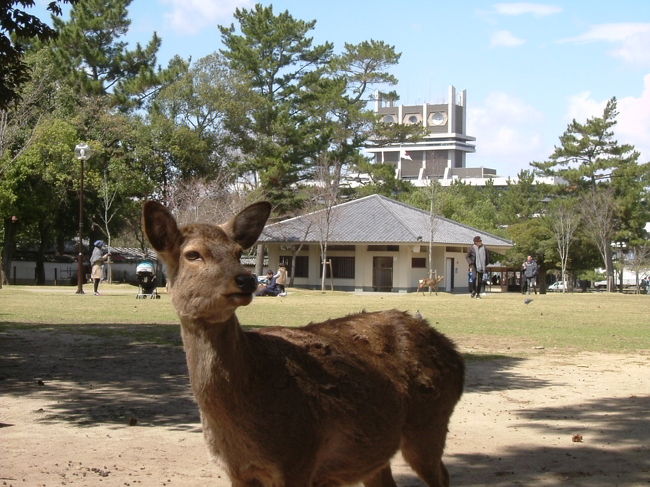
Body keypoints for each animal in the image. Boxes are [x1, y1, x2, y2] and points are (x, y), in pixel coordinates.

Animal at [143, 200, 465, 487]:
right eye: (193, 254)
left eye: (238, 251)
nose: (246, 279)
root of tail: (454, 353)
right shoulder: (237, 471)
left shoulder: (300, 458)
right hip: (376, 450)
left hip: (430, 425)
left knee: (443, 475)